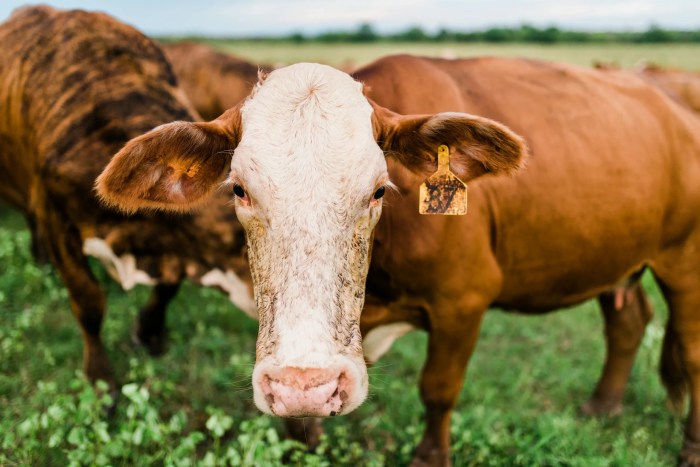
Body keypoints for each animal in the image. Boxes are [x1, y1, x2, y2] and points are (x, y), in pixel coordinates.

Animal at [95, 53, 700, 466]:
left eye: (380, 190)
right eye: (239, 189)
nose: (306, 382)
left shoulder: (464, 301)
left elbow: (437, 390)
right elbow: (298, 424)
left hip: (684, 262)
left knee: (691, 353)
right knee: (628, 321)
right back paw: (603, 405)